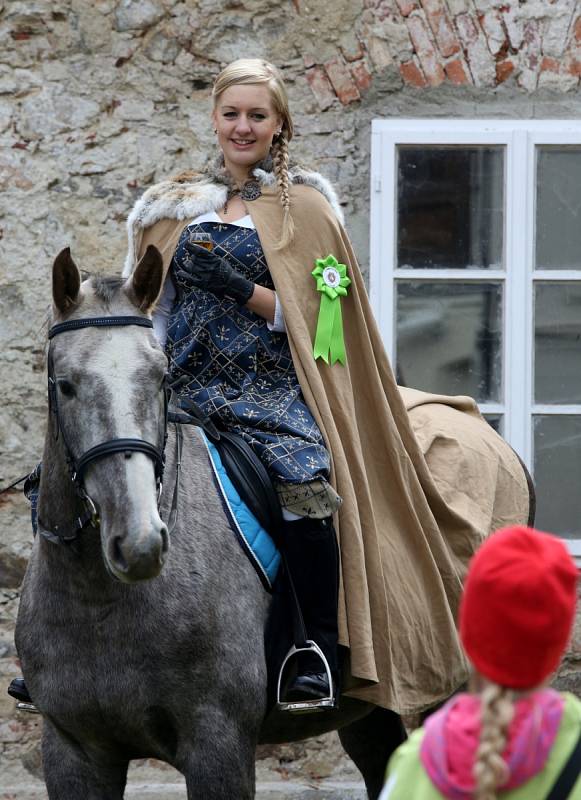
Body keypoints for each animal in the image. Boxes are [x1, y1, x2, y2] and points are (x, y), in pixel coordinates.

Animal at [14, 247, 532, 796]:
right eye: (65, 385)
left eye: (161, 378)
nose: (140, 543)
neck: (98, 598)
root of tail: (484, 432)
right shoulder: (74, 749)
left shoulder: (218, 742)